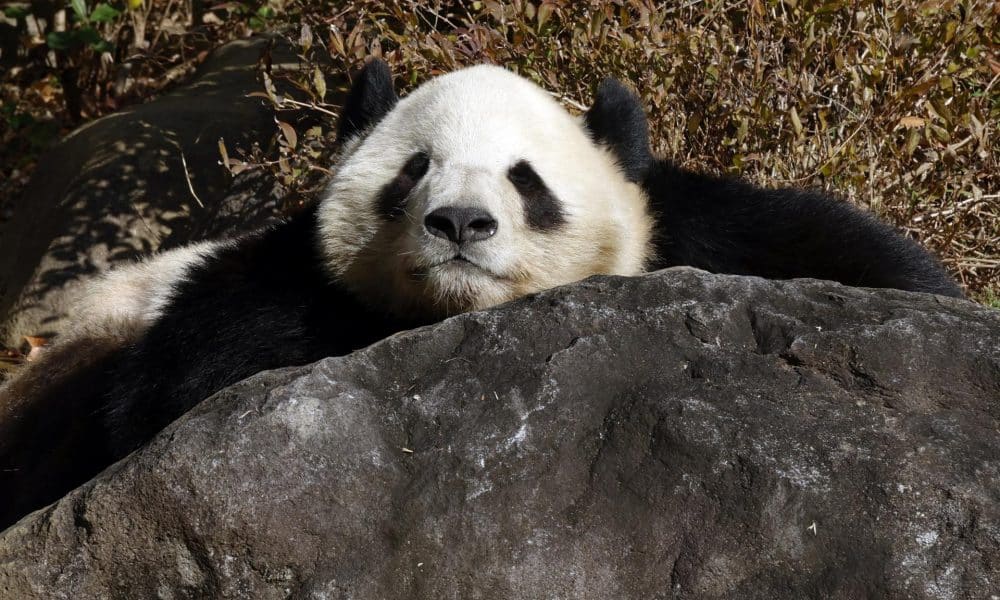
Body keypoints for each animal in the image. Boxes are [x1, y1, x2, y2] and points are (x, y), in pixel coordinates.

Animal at [0, 60, 961, 531]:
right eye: (414, 169)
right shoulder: (261, 289)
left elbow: (852, 259)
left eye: (525, 179)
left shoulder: (696, 232)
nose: (460, 222)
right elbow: (189, 380)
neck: (460, 315)